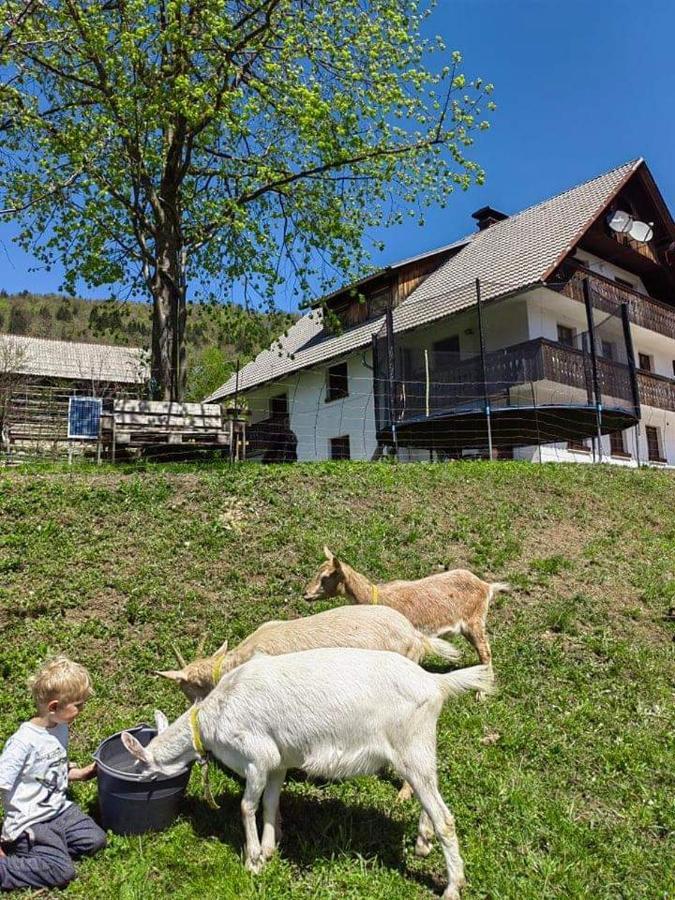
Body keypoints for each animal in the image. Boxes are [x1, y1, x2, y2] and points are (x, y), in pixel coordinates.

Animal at [123, 652, 492, 896]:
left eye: (143, 771)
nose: (135, 781)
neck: (213, 717)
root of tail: (436, 682)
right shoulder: (277, 761)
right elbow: (270, 803)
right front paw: (269, 849)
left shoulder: (256, 756)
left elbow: (246, 806)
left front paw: (252, 860)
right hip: (419, 748)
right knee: (431, 791)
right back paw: (422, 842)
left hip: (410, 744)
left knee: (445, 816)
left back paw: (452, 886)